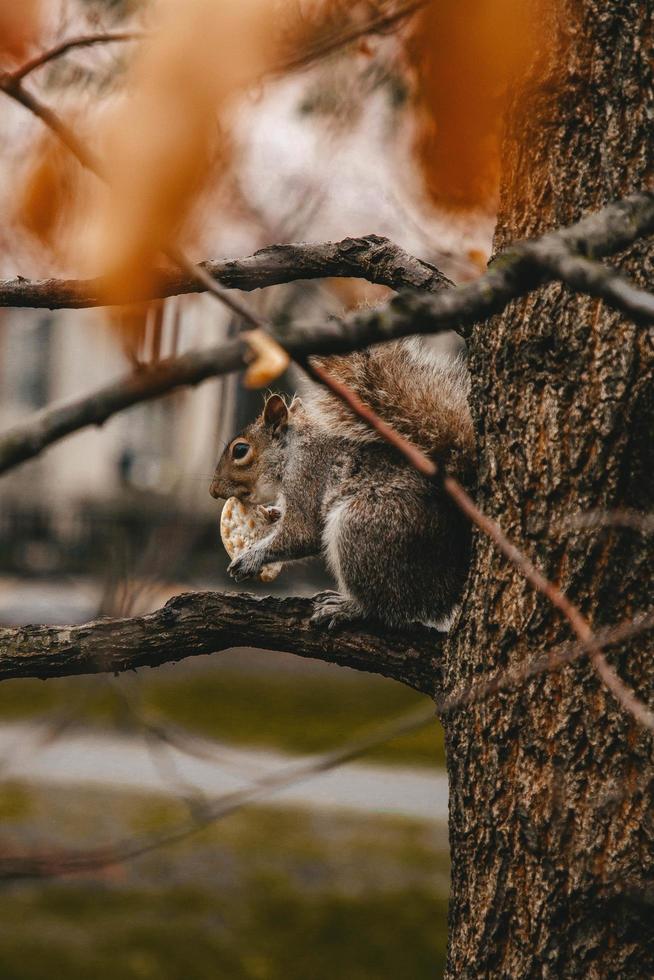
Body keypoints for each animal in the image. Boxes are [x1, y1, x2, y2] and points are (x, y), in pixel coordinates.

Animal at [213, 336, 474, 628]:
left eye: (240, 450)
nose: (214, 490)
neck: (292, 450)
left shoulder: (307, 476)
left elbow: (301, 534)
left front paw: (250, 558)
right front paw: (273, 513)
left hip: (365, 529)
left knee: (385, 606)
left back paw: (347, 608)